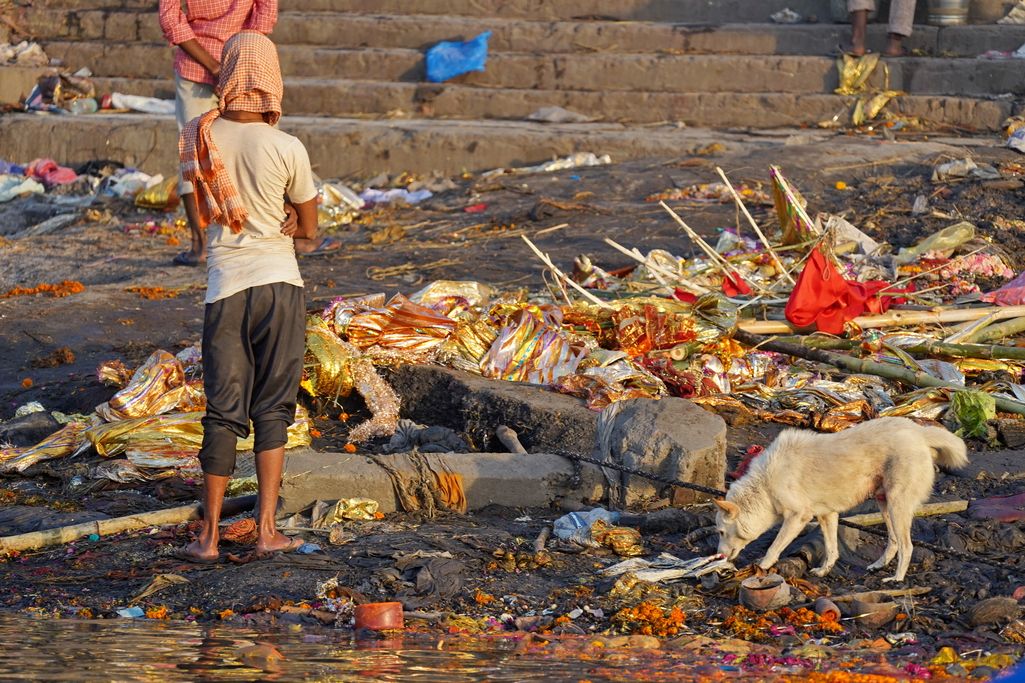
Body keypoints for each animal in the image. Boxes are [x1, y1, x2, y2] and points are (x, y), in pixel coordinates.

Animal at [717, 414, 963, 578]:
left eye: (720, 532)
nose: (718, 556)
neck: (764, 487)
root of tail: (918, 431)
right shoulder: (827, 515)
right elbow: (831, 549)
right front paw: (823, 570)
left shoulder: (798, 517)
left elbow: (774, 547)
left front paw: (762, 566)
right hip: (884, 504)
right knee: (893, 542)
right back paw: (878, 566)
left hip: (896, 506)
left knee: (907, 546)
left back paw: (896, 579)